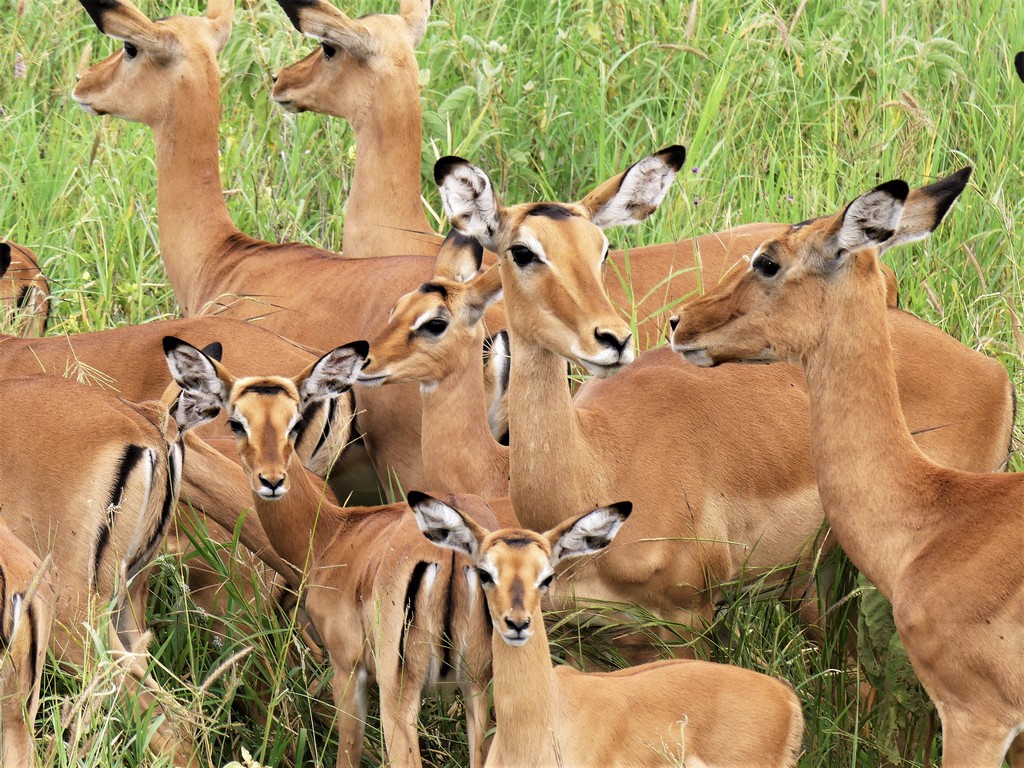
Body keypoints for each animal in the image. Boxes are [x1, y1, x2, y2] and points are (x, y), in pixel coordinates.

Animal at [163, 336, 518, 768]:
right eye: (237, 421)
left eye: (295, 420)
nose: (271, 480)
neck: (332, 533)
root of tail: (451, 555)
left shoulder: (347, 668)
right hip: (476, 688)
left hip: (399, 693)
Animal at [435, 156, 1016, 654]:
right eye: (522, 250)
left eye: (602, 248)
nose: (613, 339)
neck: (594, 467)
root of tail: (996, 373)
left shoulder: (687, 621)